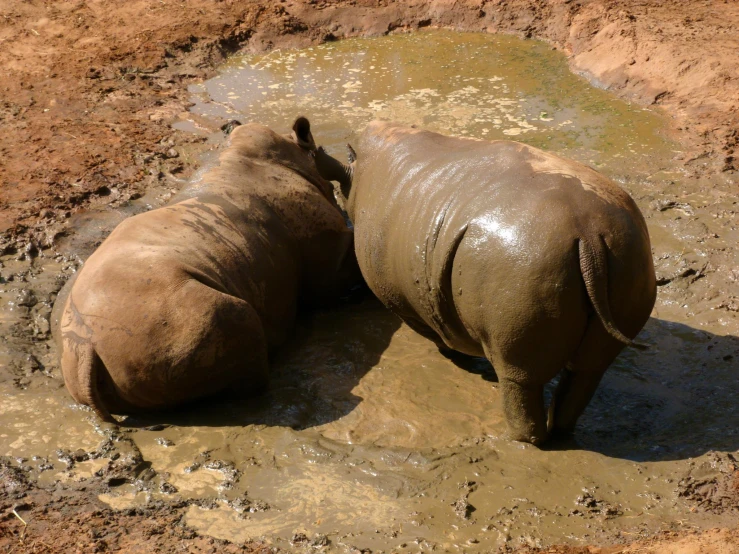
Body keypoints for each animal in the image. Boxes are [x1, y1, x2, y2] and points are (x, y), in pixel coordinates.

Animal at [53, 115, 360, 418]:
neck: (294, 154)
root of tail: (87, 349)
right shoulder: (325, 255)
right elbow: (341, 271)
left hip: (101, 336)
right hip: (160, 319)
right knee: (232, 317)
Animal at [330, 122, 660, 444]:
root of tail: (588, 235)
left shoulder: (399, 299)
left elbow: (435, 328)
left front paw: (453, 354)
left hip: (527, 267)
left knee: (519, 375)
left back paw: (520, 440)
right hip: (629, 251)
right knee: (588, 370)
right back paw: (562, 431)